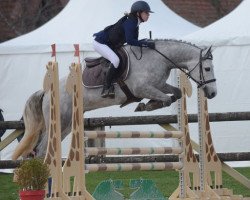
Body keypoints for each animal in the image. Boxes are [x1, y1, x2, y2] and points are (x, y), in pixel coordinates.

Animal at [12, 39, 217, 159]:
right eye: (207, 69)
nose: (213, 93)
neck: (159, 59)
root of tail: (47, 92)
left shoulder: (158, 85)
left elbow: (176, 94)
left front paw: (148, 105)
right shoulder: (142, 88)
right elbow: (166, 99)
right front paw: (146, 106)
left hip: (67, 125)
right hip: (59, 121)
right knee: (41, 150)